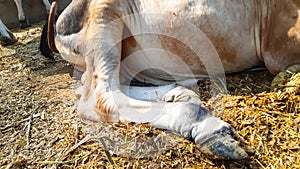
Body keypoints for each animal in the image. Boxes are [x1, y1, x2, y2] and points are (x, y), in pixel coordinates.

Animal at [45, 0, 300, 159]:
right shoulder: (278, 46)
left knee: (115, 86)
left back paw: (179, 93)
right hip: (104, 19)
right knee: (100, 97)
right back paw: (207, 126)